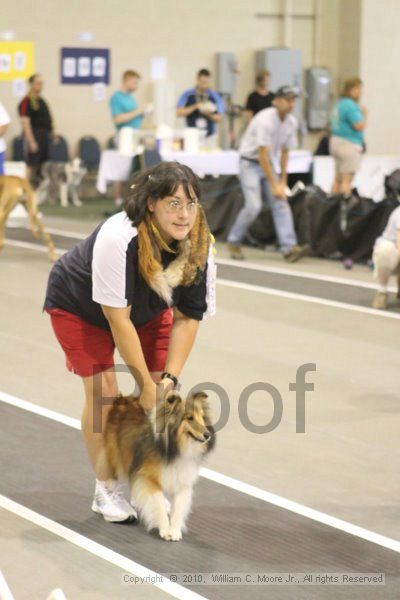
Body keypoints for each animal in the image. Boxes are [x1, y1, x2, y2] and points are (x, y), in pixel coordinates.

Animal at [100, 392, 216, 540]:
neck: (174, 449)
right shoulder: (149, 479)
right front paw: (165, 529)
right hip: (114, 456)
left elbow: (179, 508)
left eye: (202, 417)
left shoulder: (182, 481)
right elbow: (158, 503)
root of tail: (123, 398)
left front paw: (175, 530)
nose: (208, 435)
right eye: (189, 418)